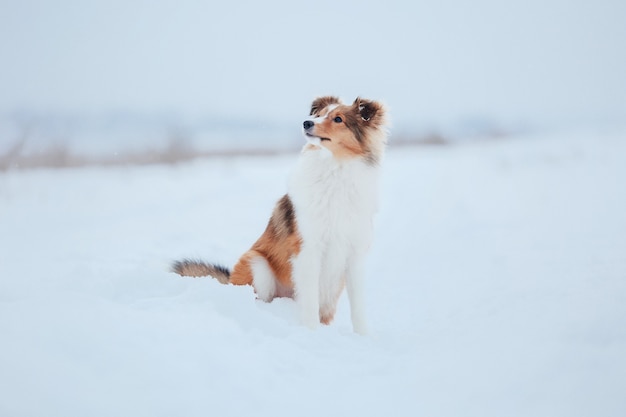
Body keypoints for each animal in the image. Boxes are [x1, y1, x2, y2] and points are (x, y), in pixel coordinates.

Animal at [171, 96, 386, 334]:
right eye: (318, 115)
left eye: (338, 119)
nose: (306, 122)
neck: (335, 169)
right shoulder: (308, 248)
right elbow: (309, 300)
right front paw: (311, 331)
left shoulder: (355, 254)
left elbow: (358, 306)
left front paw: (363, 336)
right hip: (258, 265)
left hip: (331, 289)